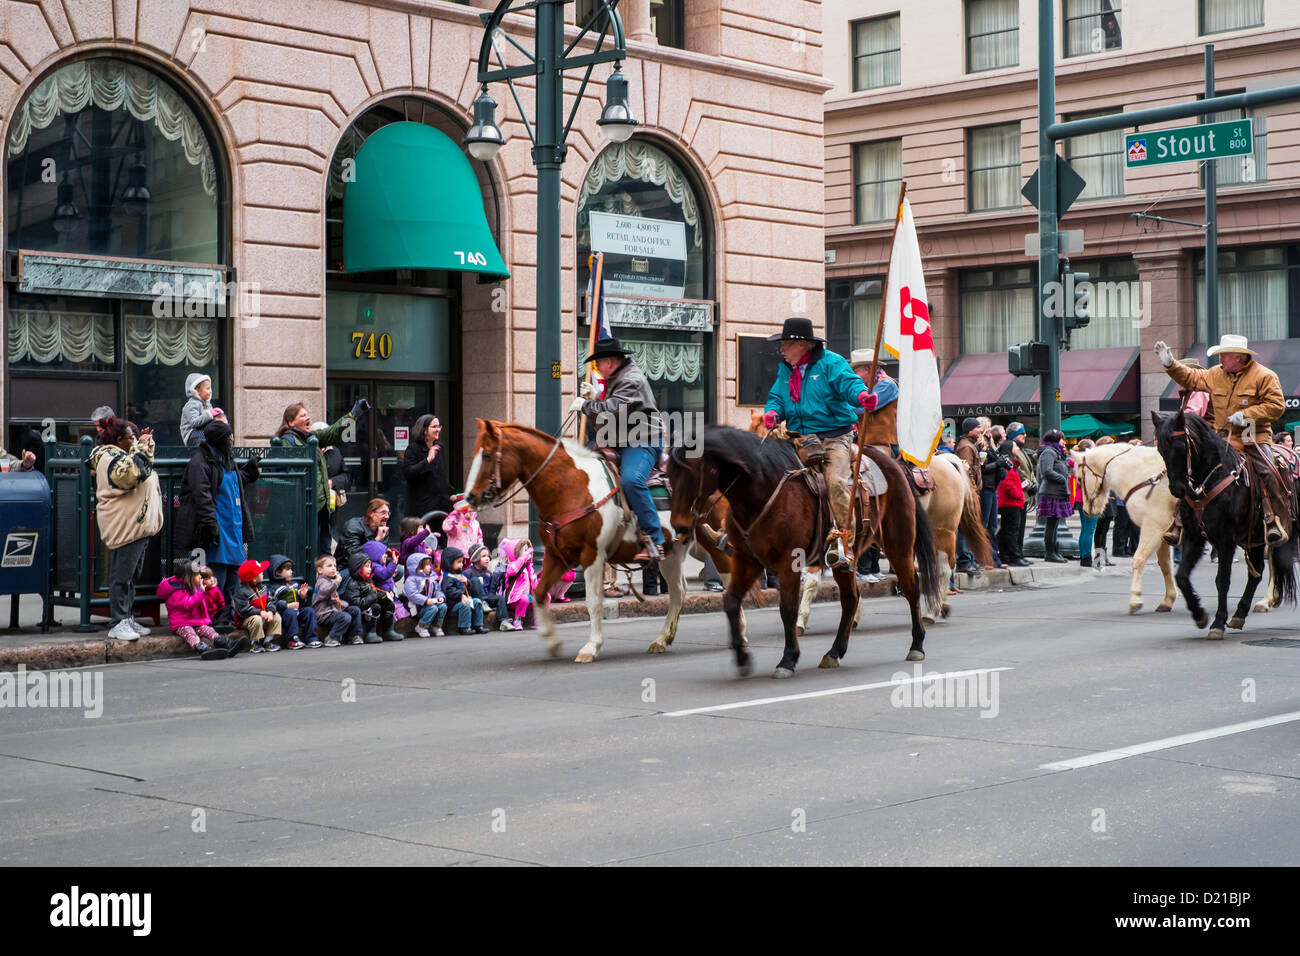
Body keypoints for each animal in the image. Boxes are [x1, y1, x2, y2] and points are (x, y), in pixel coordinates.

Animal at [467, 421, 691, 665]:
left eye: (487, 455)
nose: (470, 497)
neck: (568, 486)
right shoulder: (557, 555)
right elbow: (539, 594)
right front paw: (552, 642)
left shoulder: (592, 555)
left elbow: (593, 602)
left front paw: (591, 647)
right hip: (674, 551)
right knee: (678, 590)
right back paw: (662, 640)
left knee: (680, 589)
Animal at [670, 421, 946, 676]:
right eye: (670, 476)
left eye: (692, 474)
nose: (679, 526)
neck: (762, 489)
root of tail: (895, 464)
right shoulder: (747, 560)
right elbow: (731, 602)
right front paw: (742, 657)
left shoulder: (788, 562)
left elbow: (788, 609)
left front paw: (788, 659)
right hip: (844, 560)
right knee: (851, 598)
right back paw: (834, 652)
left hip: (899, 546)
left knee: (912, 588)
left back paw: (917, 645)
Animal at [1066, 447, 1180, 616]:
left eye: (1079, 479)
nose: (1086, 511)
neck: (1143, 475)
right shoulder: (1160, 532)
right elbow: (1165, 566)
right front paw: (1168, 600)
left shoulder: (1153, 528)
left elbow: (1140, 559)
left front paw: (1135, 599)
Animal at [1154, 408, 1294, 639]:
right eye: (1160, 449)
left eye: (1181, 446)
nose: (1178, 489)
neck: (1213, 475)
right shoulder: (1195, 537)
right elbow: (1181, 576)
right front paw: (1199, 614)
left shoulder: (1226, 539)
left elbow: (1222, 580)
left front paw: (1218, 622)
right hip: (1256, 540)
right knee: (1256, 574)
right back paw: (1240, 614)